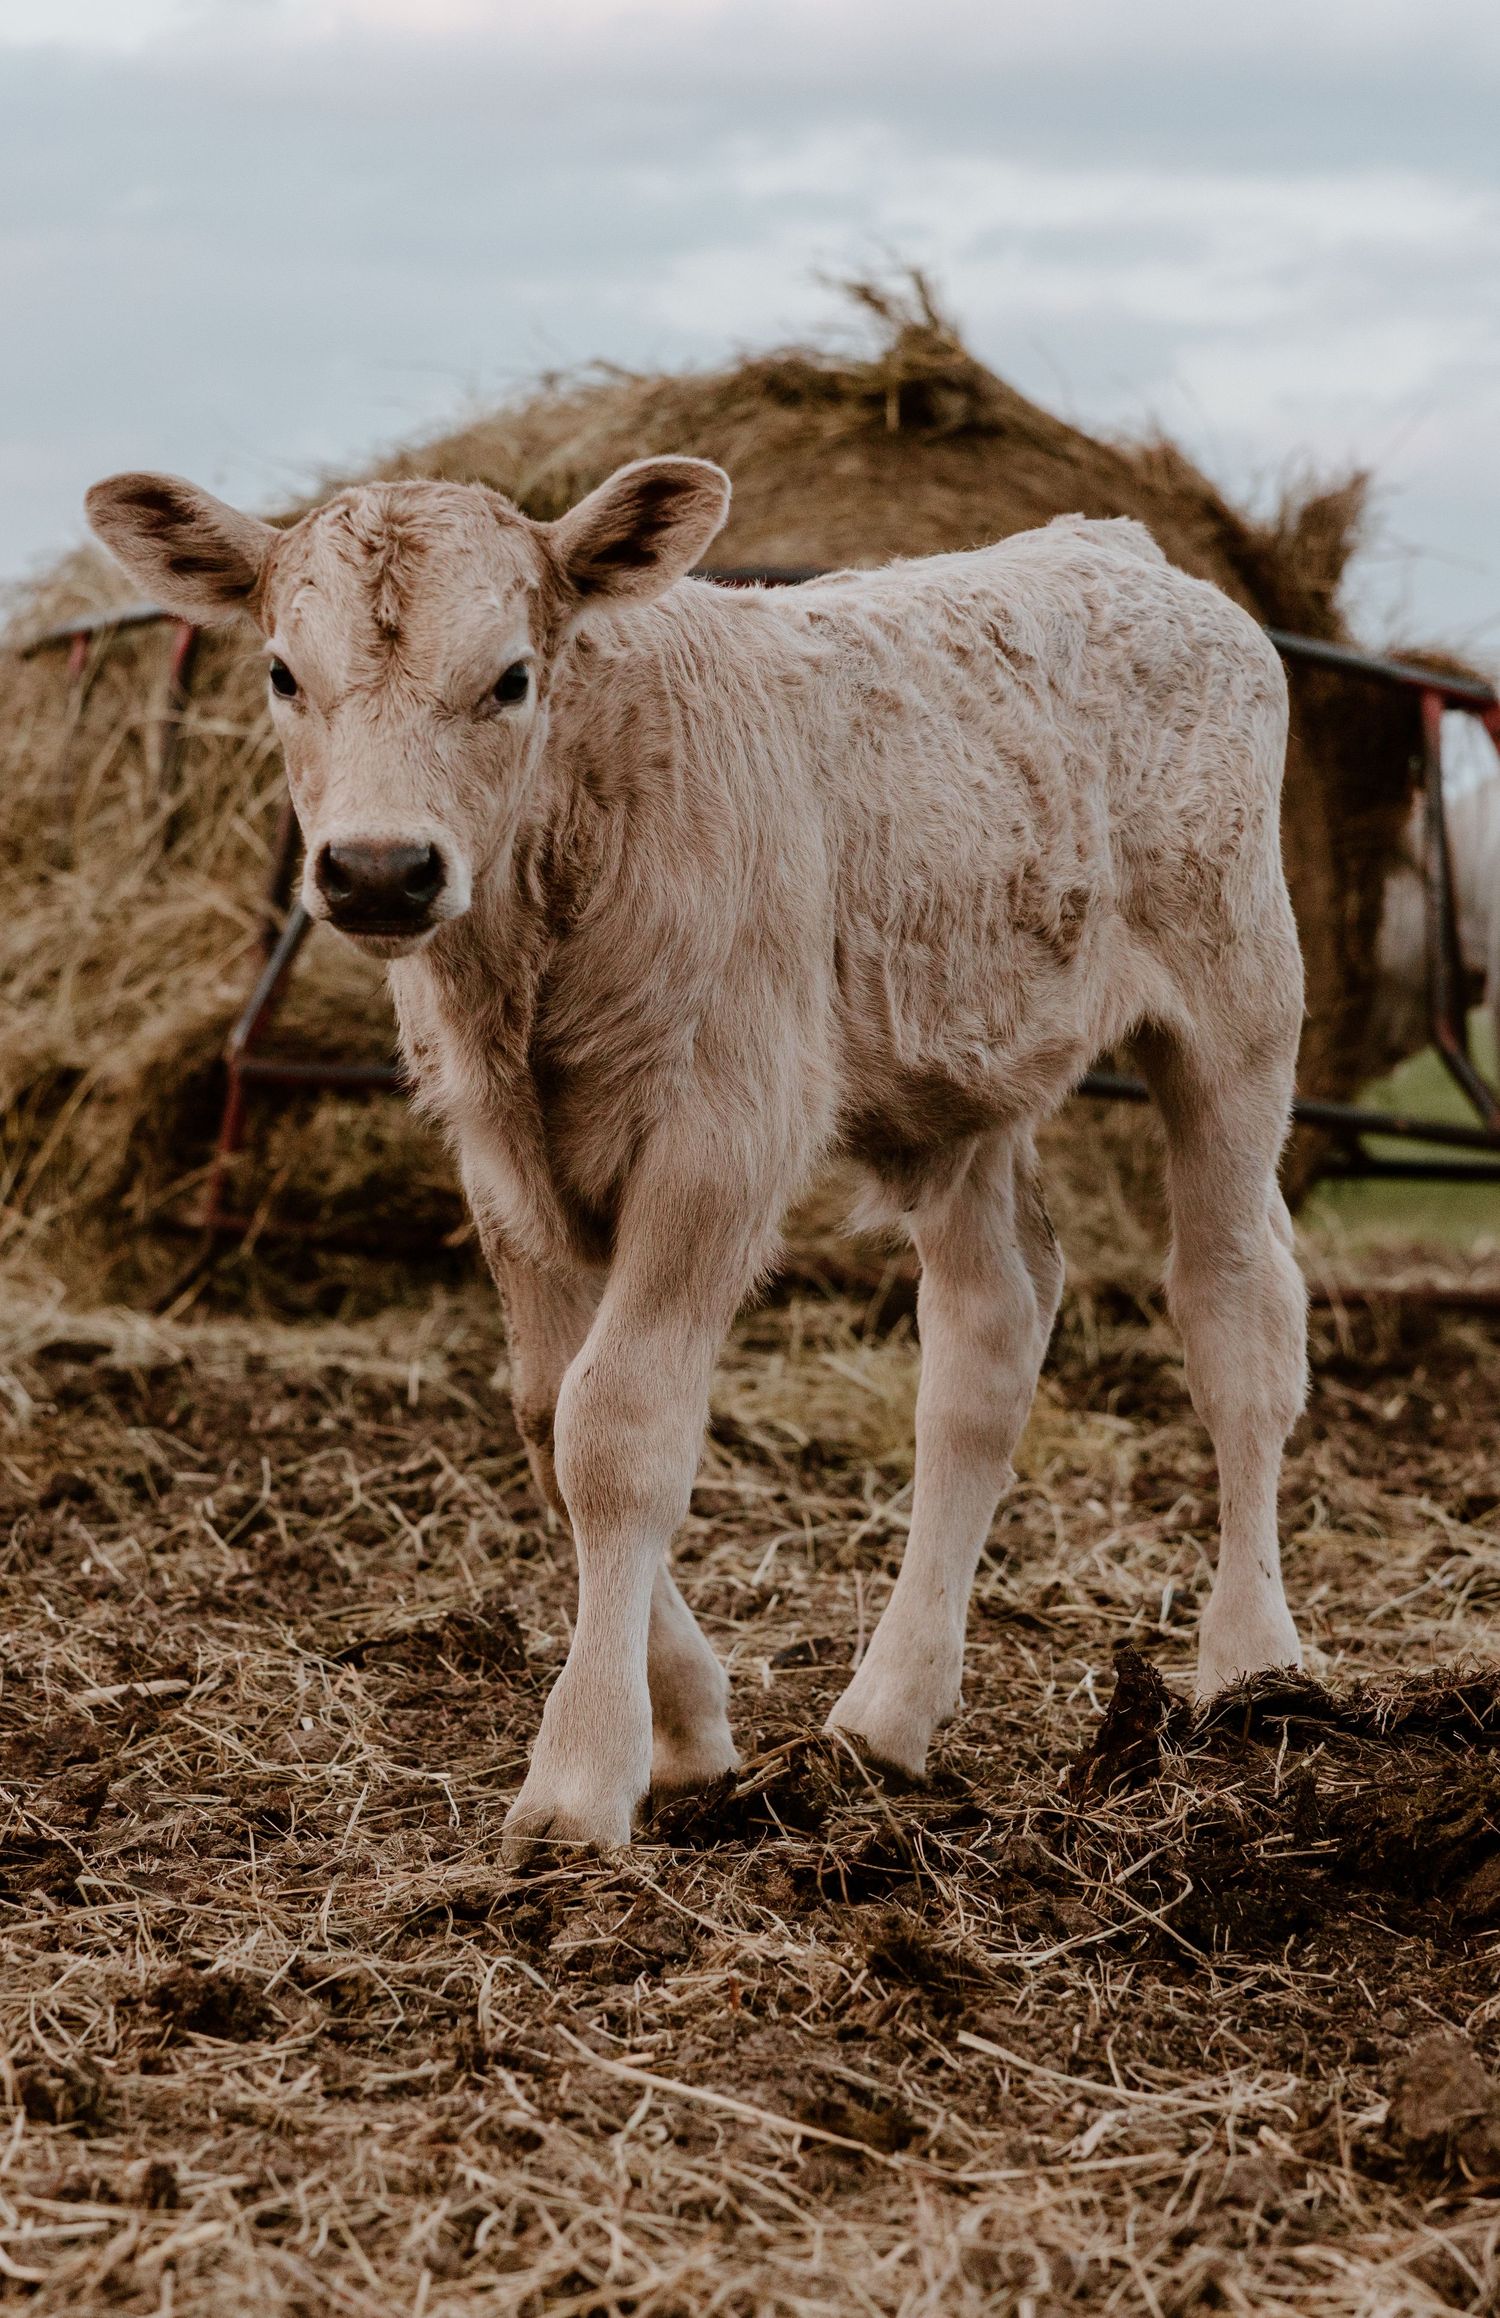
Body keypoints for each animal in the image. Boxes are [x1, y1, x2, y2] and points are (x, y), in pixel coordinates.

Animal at [86, 459, 1309, 1857]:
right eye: (284, 673)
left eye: (512, 676)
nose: (382, 870)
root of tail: (1114, 545)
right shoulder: (500, 1160)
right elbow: (549, 1415)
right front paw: (688, 1736)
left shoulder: (721, 1135)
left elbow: (619, 1426)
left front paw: (576, 1777)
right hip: (961, 1069)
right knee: (992, 1326)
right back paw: (888, 1713)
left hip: (1237, 1003)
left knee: (1234, 1302)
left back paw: (1252, 1669)